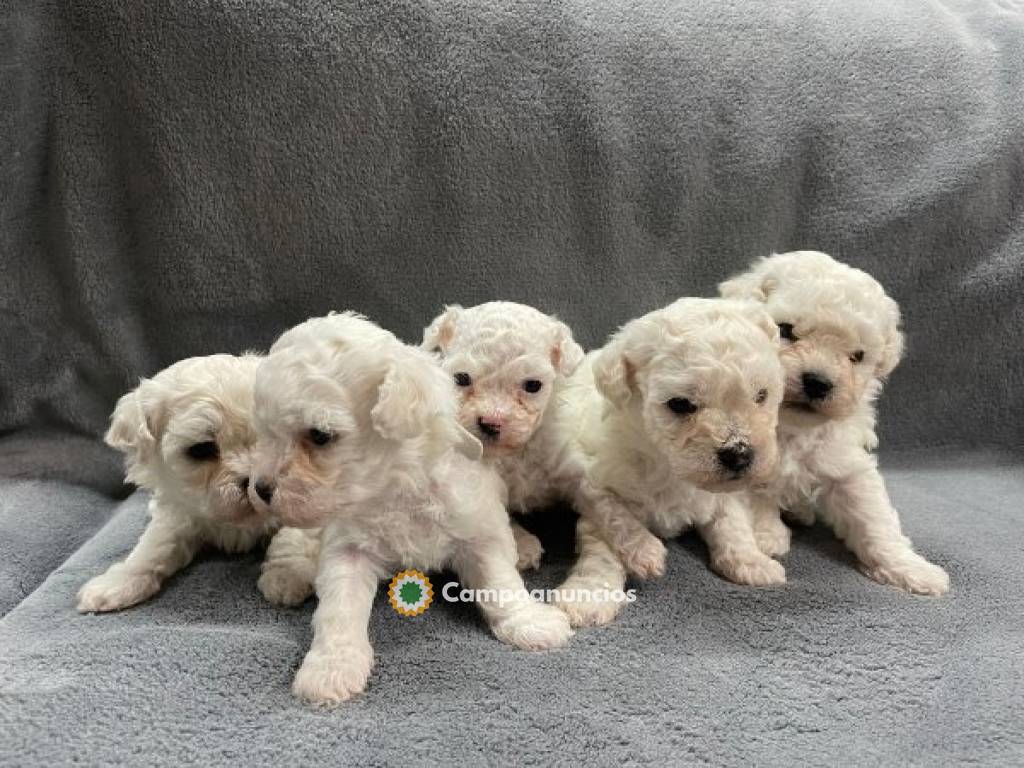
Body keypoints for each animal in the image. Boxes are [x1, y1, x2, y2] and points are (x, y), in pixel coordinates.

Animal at [244, 311, 573, 704]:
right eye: (265, 432)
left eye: (320, 436)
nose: (259, 489)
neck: (393, 488)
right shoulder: (347, 546)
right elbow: (339, 608)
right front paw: (331, 667)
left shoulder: (477, 527)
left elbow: (499, 580)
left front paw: (528, 622)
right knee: (293, 538)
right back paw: (286, 574)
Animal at [419, 303, 667, 581]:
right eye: (461, 379)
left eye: (532, 385)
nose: (491, 423)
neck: (517, 453)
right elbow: (498, 517)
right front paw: (524, 546)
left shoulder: (574, 471)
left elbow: (608, 505)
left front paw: (644, 547)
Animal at [557, 296, 786, 626]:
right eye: (680, 404)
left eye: (761, 395)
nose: (740, 454)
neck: (668, 466)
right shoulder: (594, 484)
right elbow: (610, 534)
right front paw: (590, 595)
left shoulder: (724, 494)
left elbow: (733, 523)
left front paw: (752, 562)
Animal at [720, 252, 950, 593]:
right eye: (785, 329)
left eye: (857, 355)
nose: (818, 382)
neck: (792, 427)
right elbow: (758, 497)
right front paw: (768, 537)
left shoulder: (847, 465)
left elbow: (874, 518)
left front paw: (912, 568)